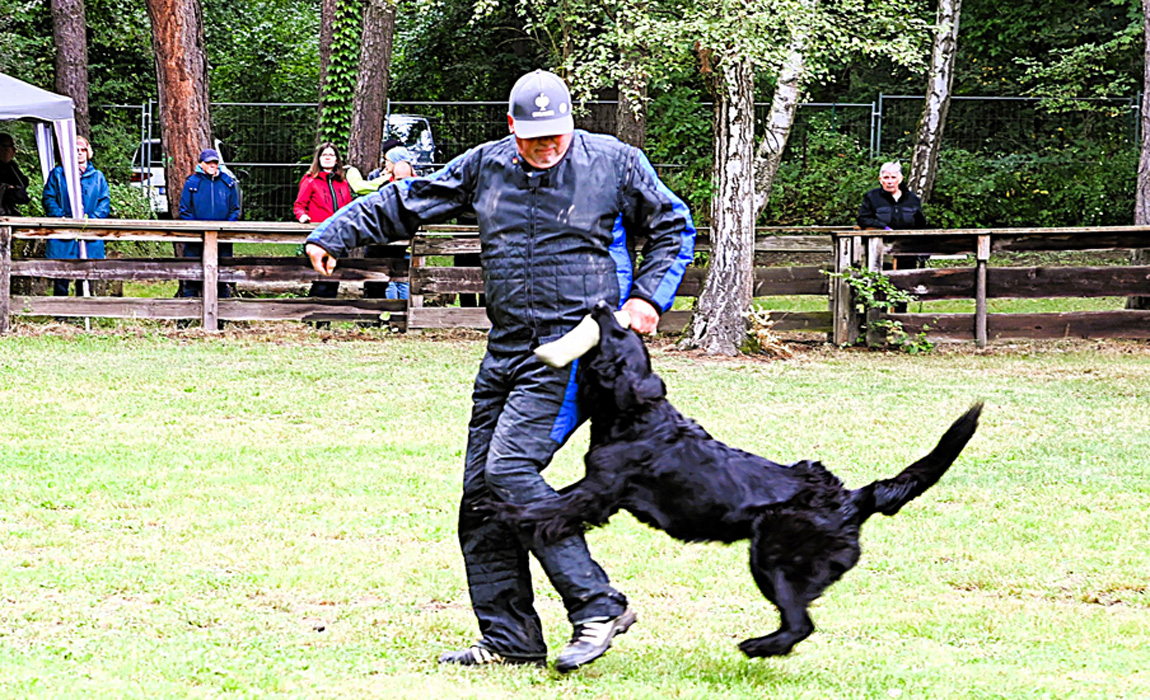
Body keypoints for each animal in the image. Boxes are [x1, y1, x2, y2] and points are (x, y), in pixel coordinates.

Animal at [489, 303, 984, 657]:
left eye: (617, 335)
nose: (601, 305)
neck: (637, 418)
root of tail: (851, 497)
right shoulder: (599, 490)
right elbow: (554, 501)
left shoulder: (599, 491)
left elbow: (549, 506)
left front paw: (502, 511)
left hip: (772, 559)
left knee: (800, 624)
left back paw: (759, 647)